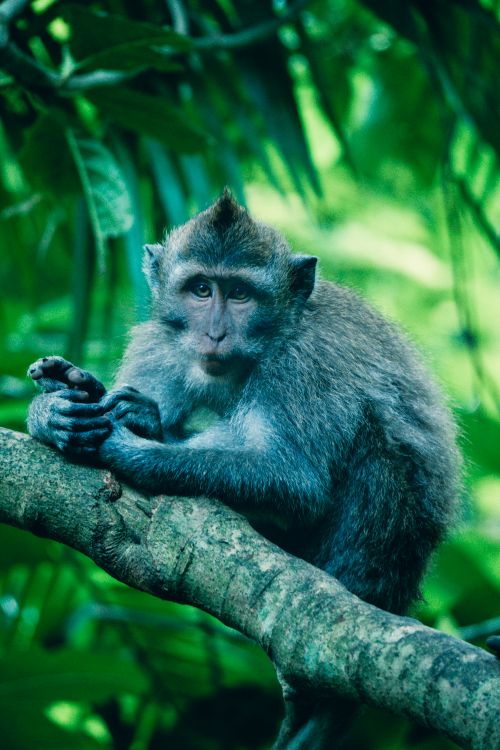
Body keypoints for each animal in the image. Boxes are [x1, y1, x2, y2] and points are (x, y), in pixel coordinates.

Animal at [27, 190, 461, 748]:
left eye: (239, 295)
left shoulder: (302, 364)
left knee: (378, 452)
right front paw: (60, 409)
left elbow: (294, 479)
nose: (214, 333)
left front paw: (127, 448)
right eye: (201, 289)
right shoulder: (160, 345)